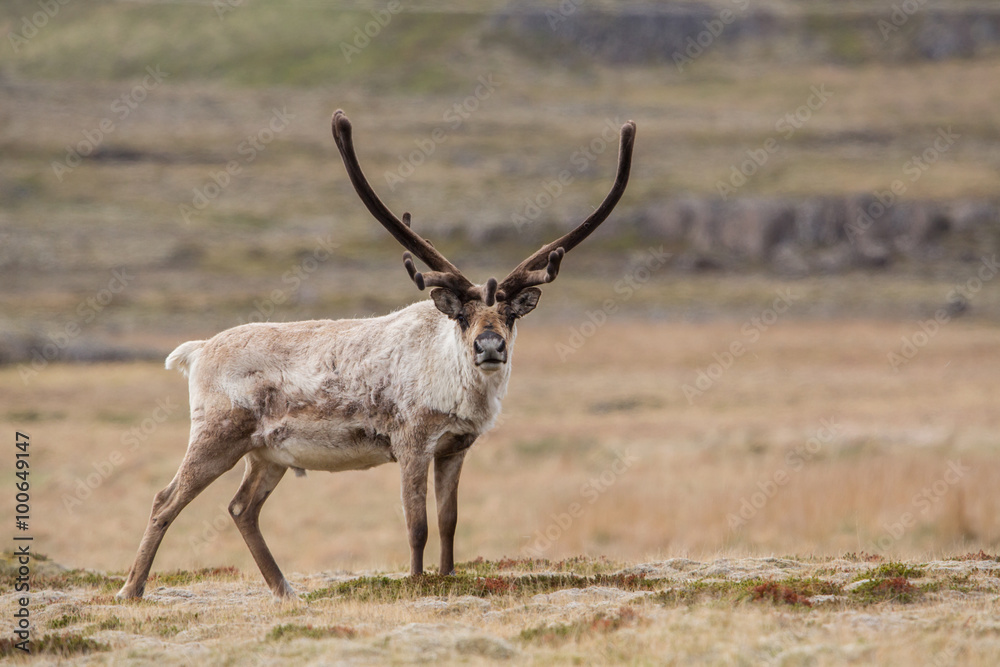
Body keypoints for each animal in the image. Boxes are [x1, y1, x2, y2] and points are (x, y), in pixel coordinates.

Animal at [116, 110, 635, 600]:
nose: (489, 346)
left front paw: (447, 577)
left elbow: (449, 521)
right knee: (165, 499)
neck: (456, 386)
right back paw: (132, 588)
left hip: (267, 454)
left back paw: (285, 590)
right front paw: (417, 581)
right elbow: (417, 524)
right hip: (217, 435)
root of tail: (197, 350)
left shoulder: (456, 446)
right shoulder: (411, 442)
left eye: (511, 314)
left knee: (241, 507)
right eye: (462, 315)